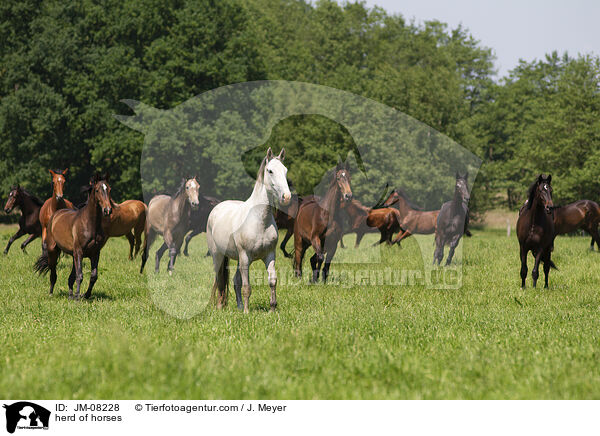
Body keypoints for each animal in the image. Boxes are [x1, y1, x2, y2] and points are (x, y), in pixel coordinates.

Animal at [206, 148, 290, 312]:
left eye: (285, 170)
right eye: (270, 171)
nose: (287, 196)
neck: (259, 220)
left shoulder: (270, 255)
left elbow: (272, 281)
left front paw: (272, 309)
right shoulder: (245, 258)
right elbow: (247, 286)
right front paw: (246, 311)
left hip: (238, 259)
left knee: (234, 280)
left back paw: (238, 307)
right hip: (218, 255)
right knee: (220, 280)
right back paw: (221, 306)